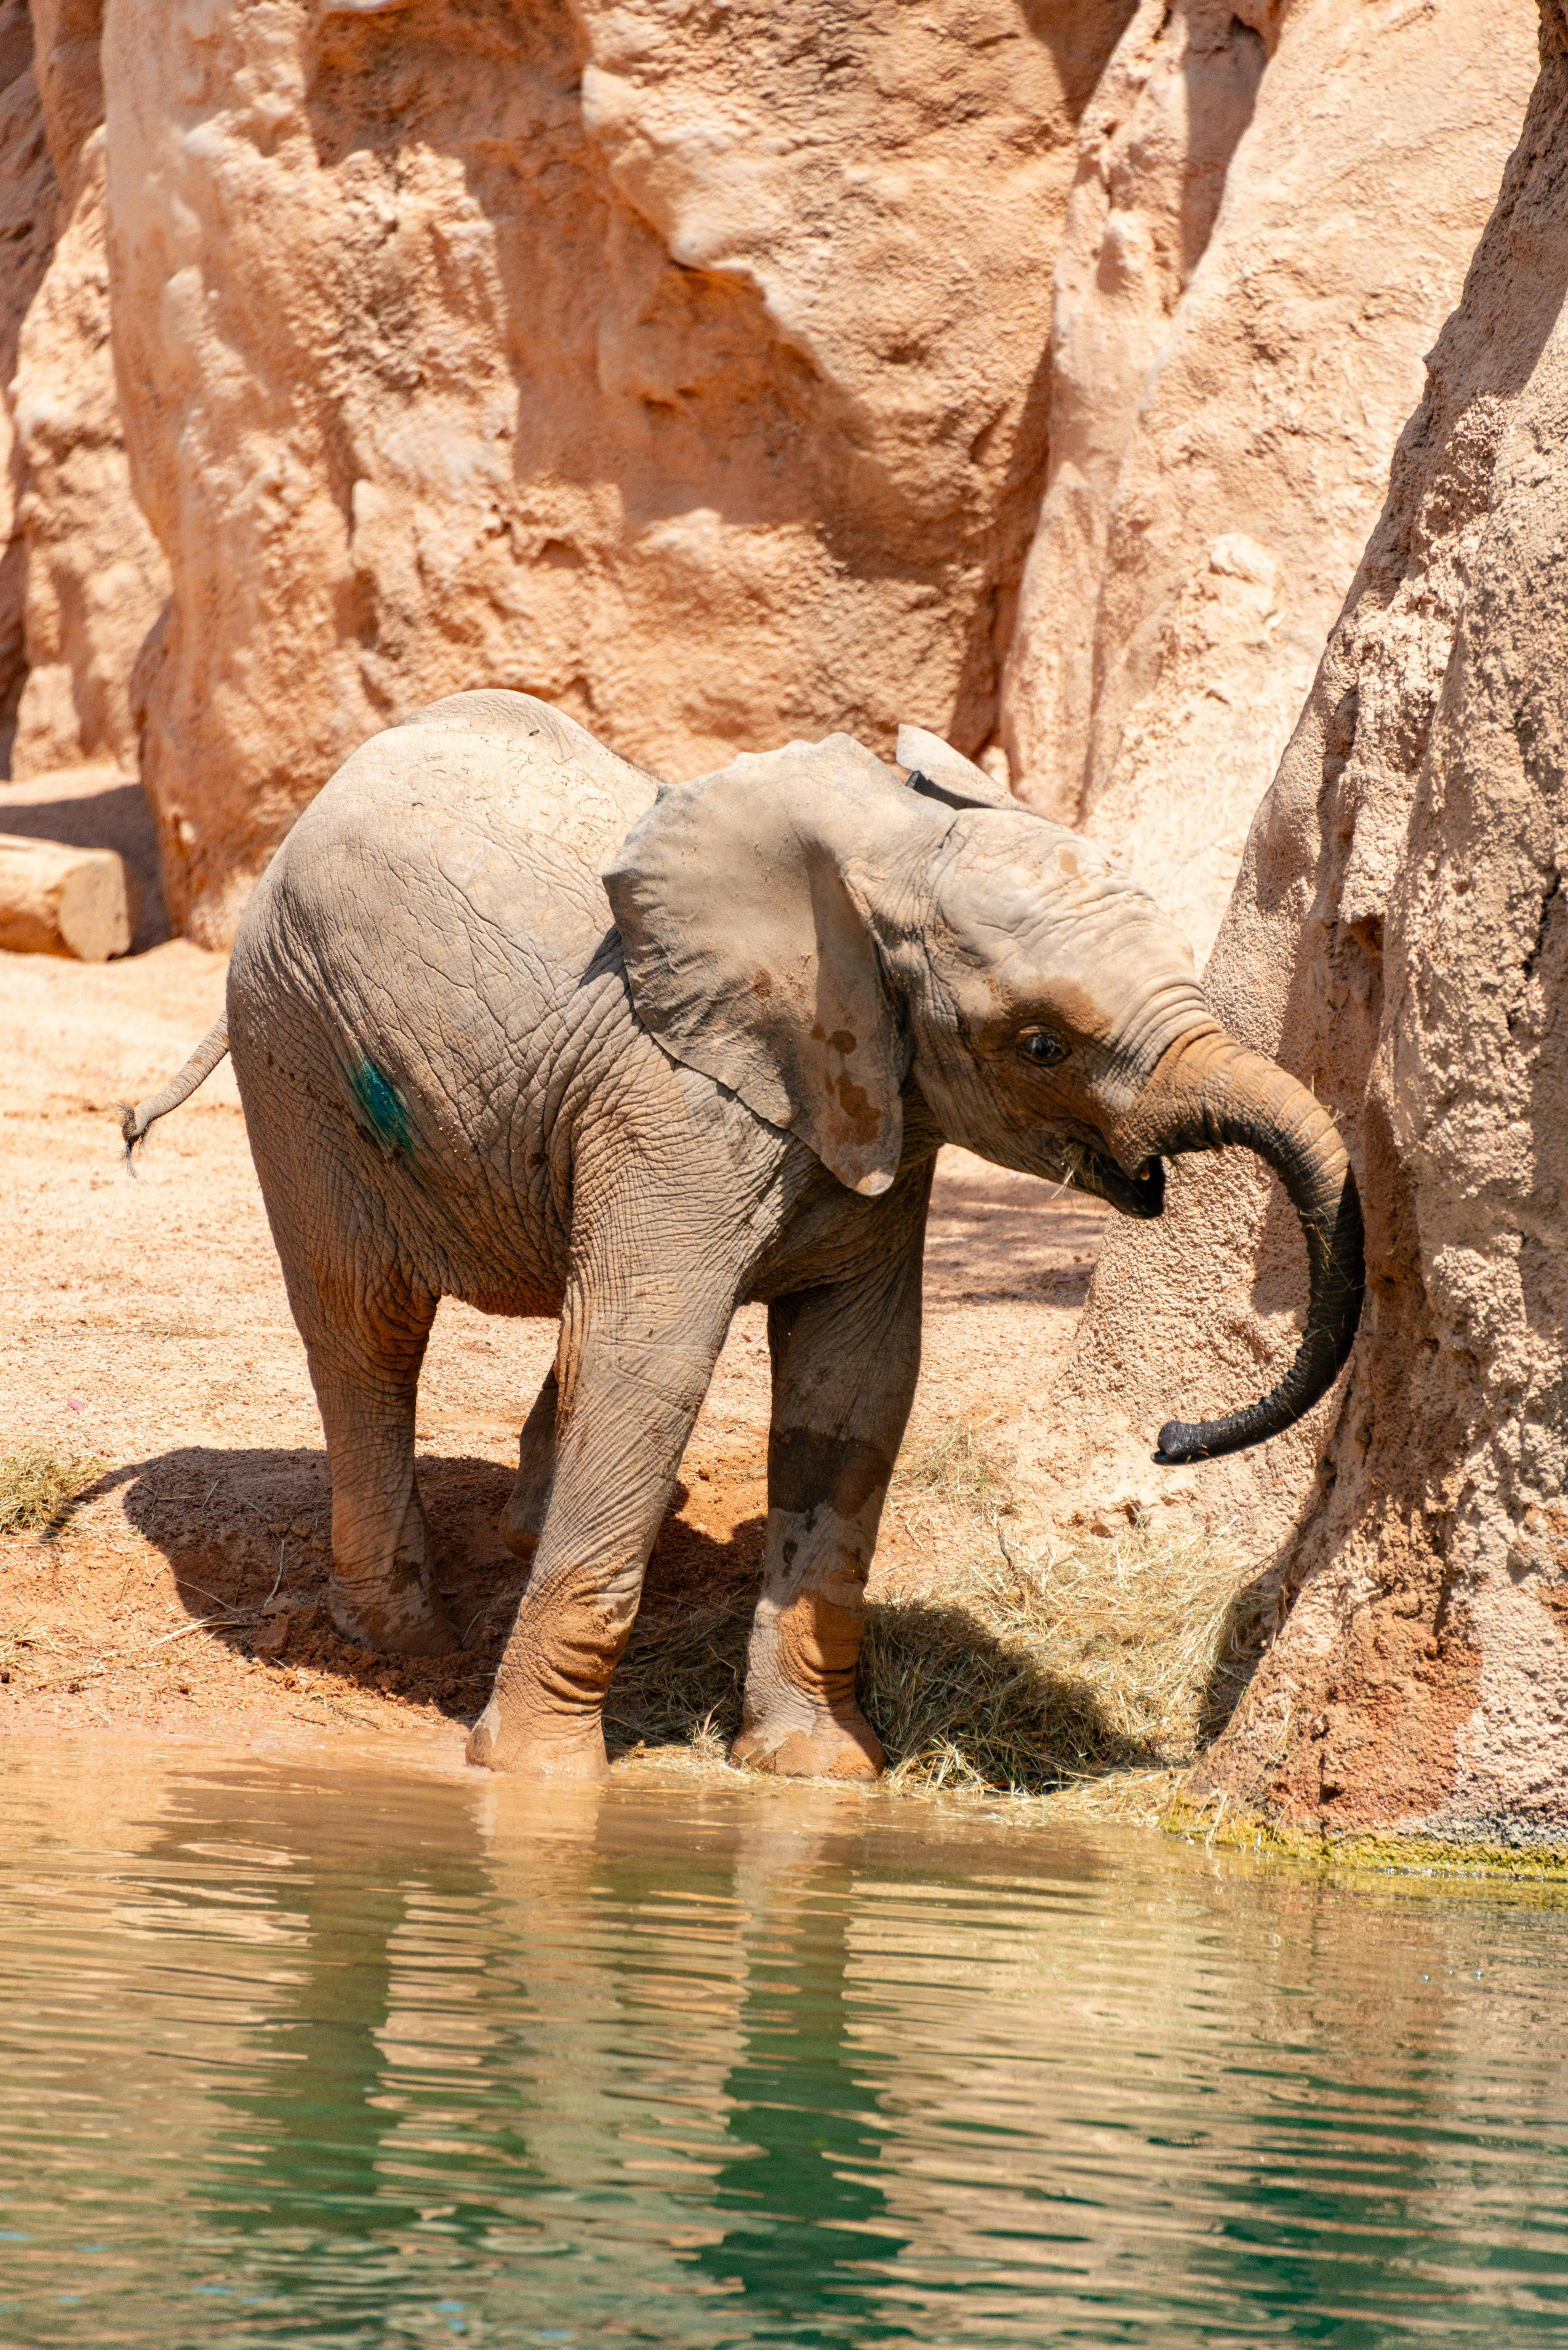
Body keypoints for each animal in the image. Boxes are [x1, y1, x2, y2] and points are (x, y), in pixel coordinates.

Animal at [124, 690, 1363, 1780]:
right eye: (1041, 1044)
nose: (1171, 1436)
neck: (886, 862)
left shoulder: (875, 1111)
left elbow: (856, 1382)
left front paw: (817, 1772)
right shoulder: (672, 1106)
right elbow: (649, 1362)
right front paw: (534, 1784)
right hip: (291, 1040)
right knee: (367, 1320)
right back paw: (397, 1636)